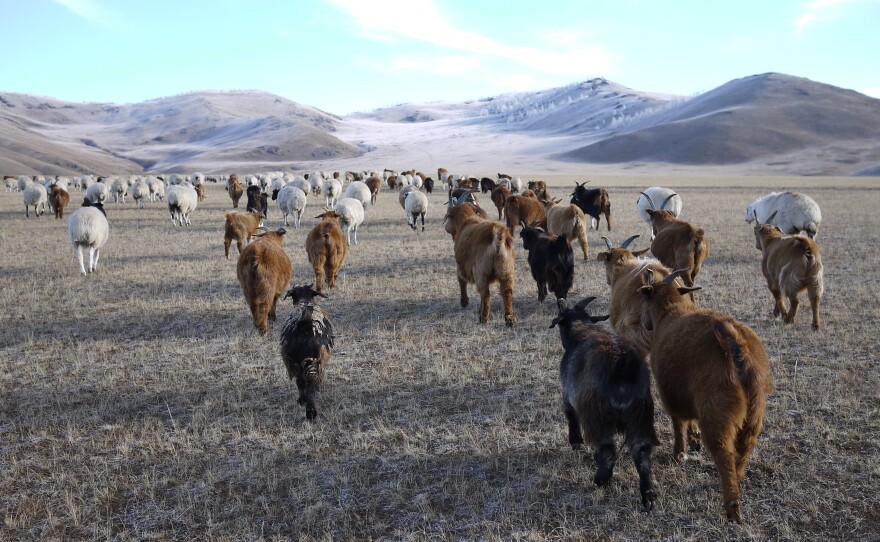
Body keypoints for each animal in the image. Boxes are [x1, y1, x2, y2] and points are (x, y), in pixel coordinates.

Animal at [280, 284, 334, 421]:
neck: (304, 301)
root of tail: (303, 326)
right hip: (313, 362)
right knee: (310, 386)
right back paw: (311, 412)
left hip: (292, 363)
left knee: (300, 382)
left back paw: (302, 401)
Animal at [444, 194, 515, 326]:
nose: (446, 227)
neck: (466, 221)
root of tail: (497, 234)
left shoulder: (461, 265)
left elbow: (461, 280)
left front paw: (464, 302)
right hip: (506, 270)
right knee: (507, 291)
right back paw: (509, 320)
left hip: (481, 271)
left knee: (485, 294)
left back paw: (483, 318)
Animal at [550, 296, 657, 511]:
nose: (560, 300)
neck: (581, 330)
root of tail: (624, 365)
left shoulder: (568, 396)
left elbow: (570, 417)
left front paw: (575, 443)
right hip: (641, 416)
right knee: (641, 451)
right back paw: (647, 495)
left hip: (596, 416)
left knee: (608, 449)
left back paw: (601, 479)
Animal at [639, 268, 773, 522]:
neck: (671, 312)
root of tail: (732, 340)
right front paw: (694, 438)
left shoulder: (669, 394)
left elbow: (678, 423)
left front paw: (679, 453)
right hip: (754, 413)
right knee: (745, 446)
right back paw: (738, 477)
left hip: (717, 415)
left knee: (723, 452)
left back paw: (732, 506)